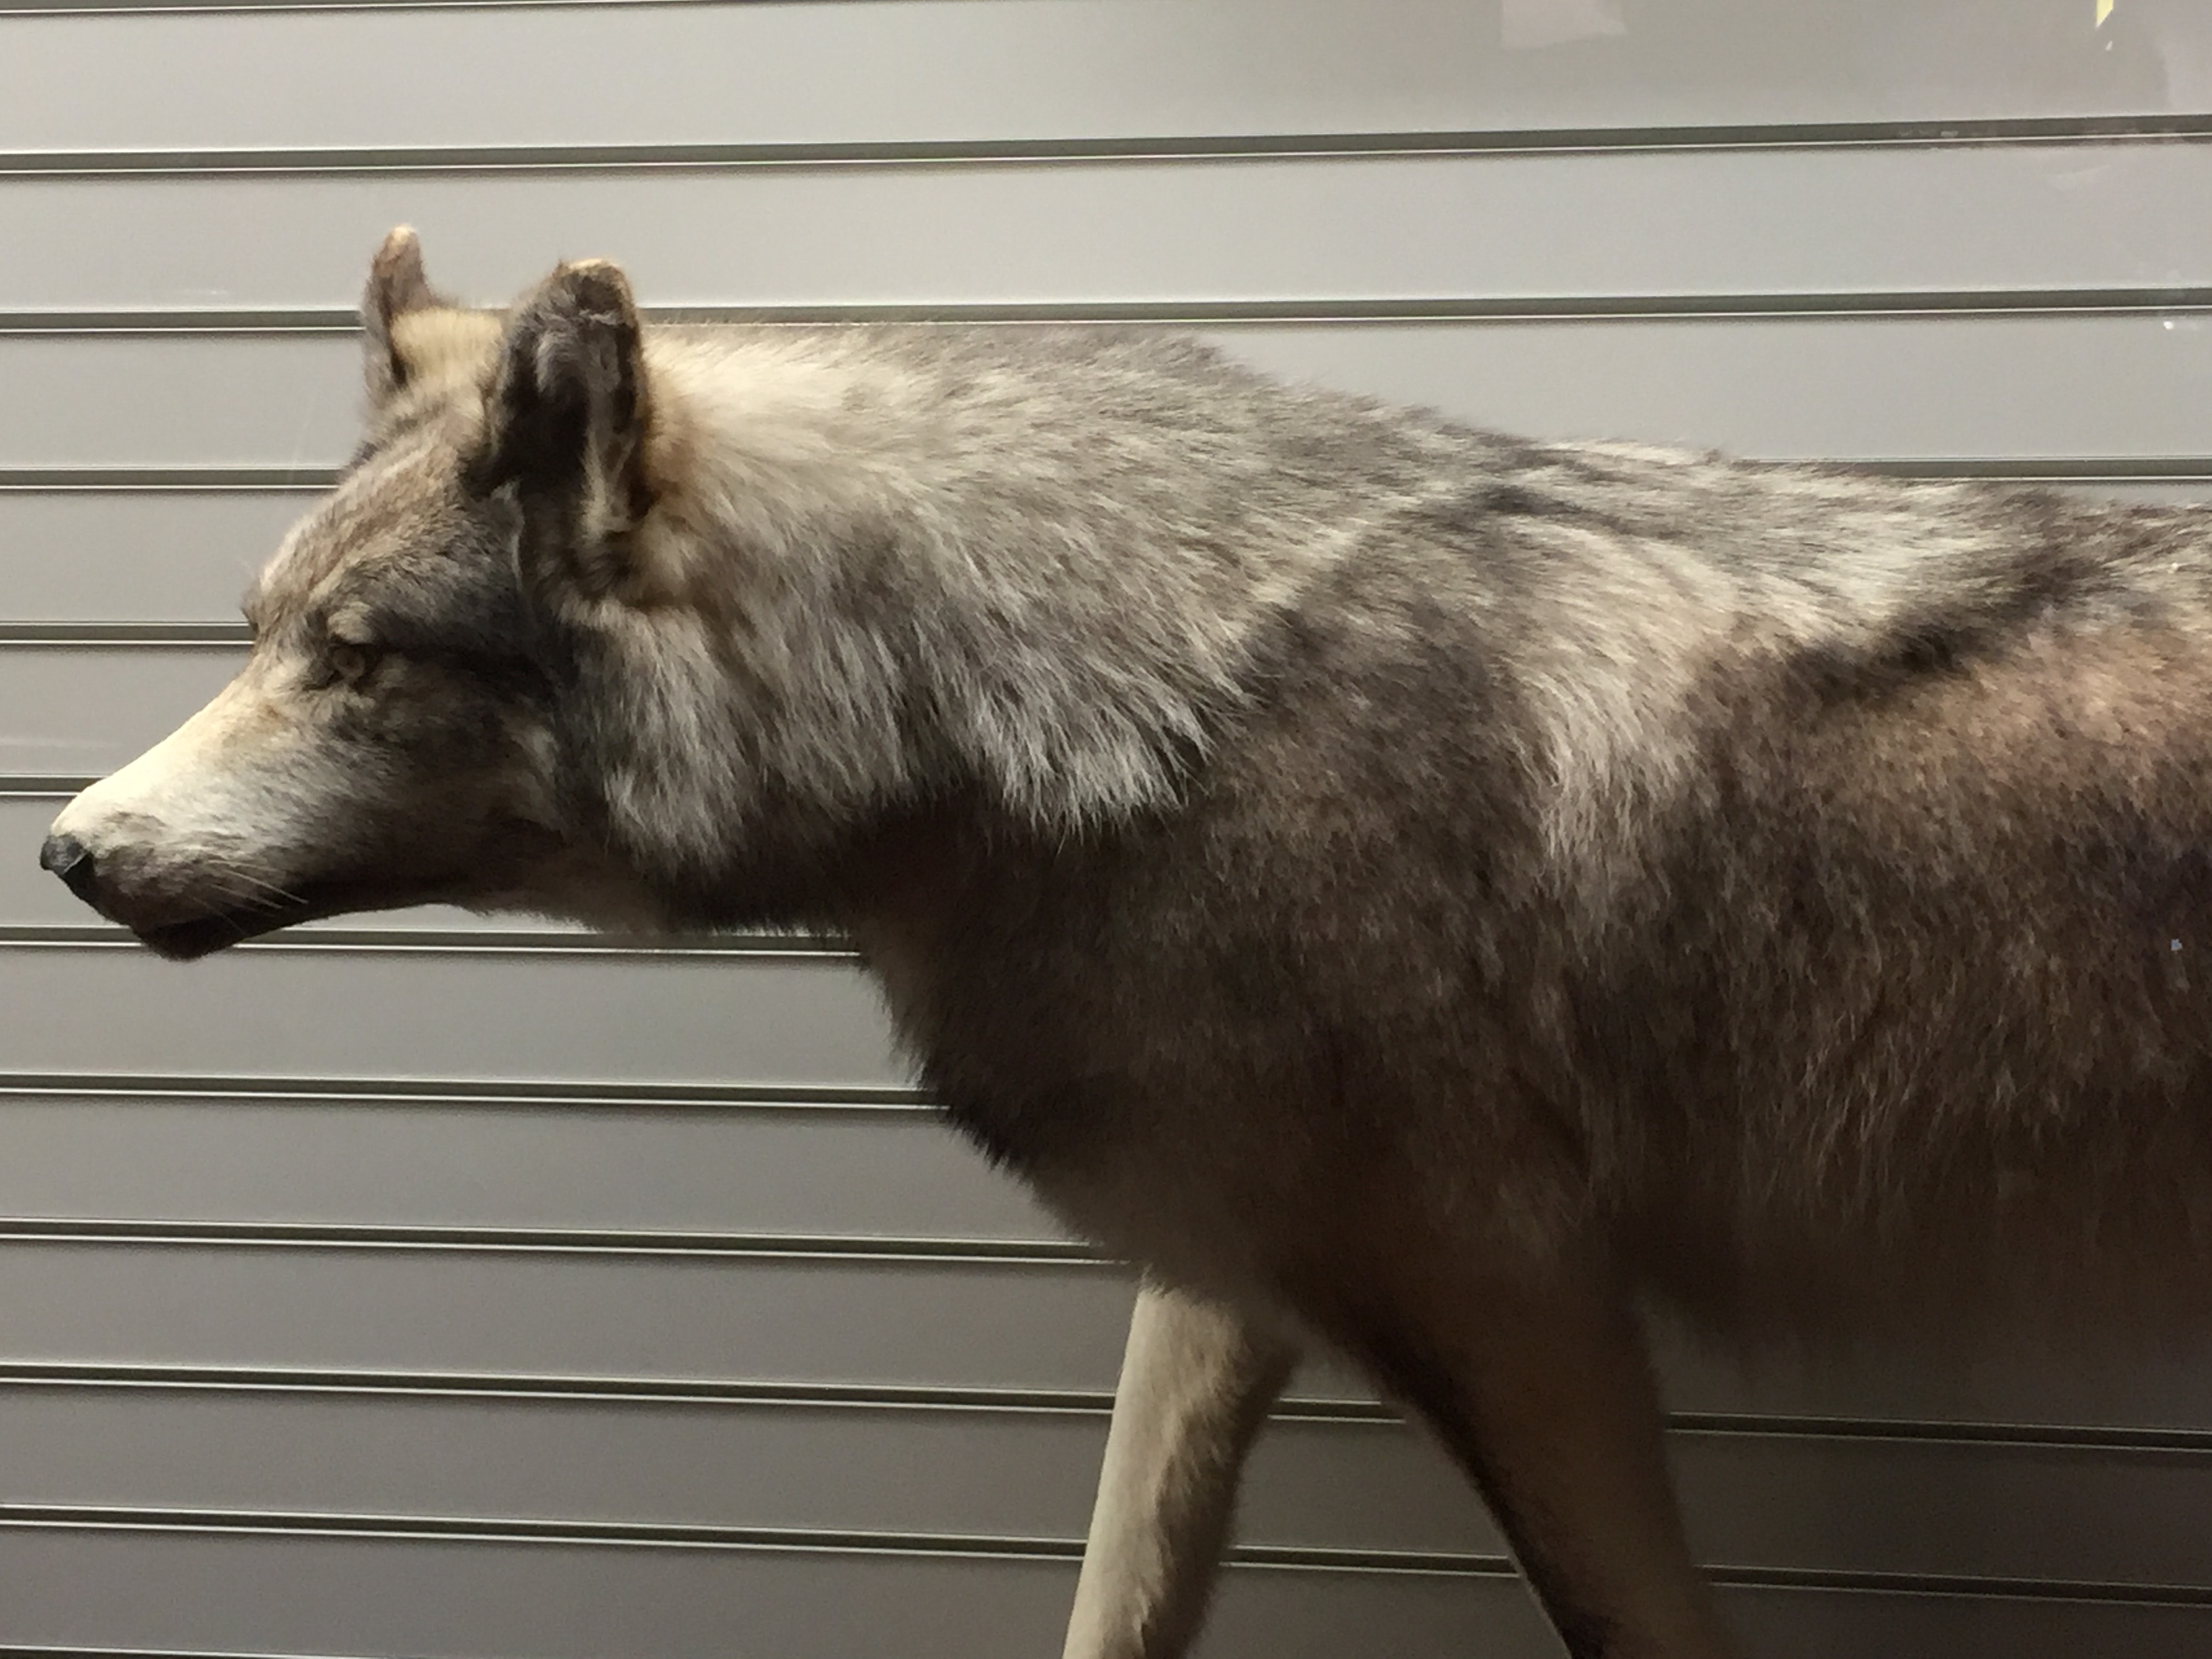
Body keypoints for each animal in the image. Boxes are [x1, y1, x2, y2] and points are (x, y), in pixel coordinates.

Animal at [38, 228, 2212, 1658]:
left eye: (354, 661)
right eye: (257, 634)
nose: (67, 852)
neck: (1123, 706)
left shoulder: (1516, 1309)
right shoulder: (1223, 1281)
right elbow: (1115, 1594)